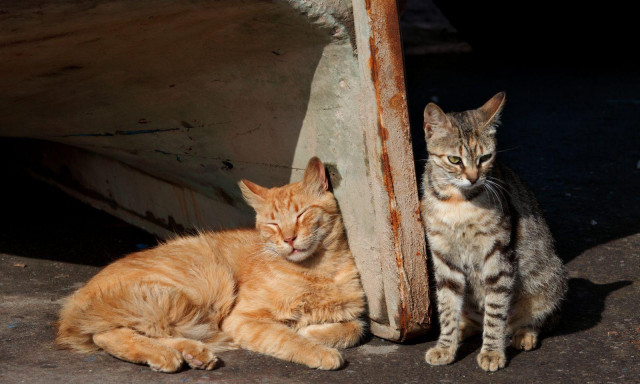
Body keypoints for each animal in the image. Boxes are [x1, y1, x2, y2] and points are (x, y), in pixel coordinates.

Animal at [57, 156, 368, 372]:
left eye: (302, 214)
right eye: (273, 224)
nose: (289, 239)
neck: (317, 272)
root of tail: (78, 296)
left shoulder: (351, 311)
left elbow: (354, 329)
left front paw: (313, 331)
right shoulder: (242, 319)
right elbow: (287, 338)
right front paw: (317, 349)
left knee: (125, 331)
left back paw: (190, 353)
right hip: (202, 284)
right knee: (110, 333)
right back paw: (167, 354)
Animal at [422, 91, 568, 370]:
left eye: (485, 158)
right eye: (454, 160)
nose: (473, 177)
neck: (458, 202)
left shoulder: (498, 256)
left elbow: (496, 312)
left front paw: (491, 352)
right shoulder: (444, 256)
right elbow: (447, 307)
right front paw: (445, 346)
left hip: (550, 279)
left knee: (534, 319)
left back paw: (523, 334)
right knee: (472, 318)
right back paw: (463, 329)